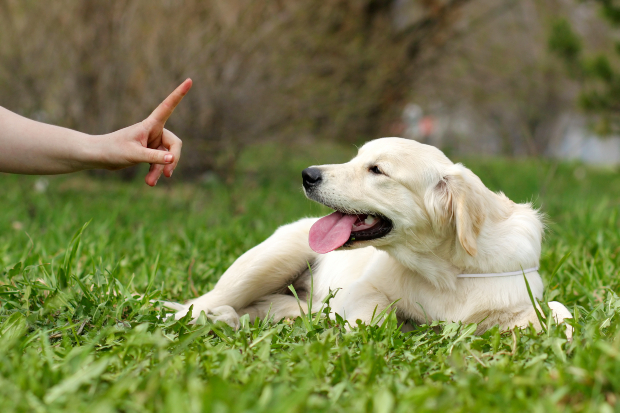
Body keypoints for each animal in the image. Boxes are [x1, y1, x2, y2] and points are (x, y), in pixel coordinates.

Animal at [168, 138, 572, 334]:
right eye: (356, 159)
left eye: (377, 170)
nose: (307, 175)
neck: (449, 272)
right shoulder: (362, 291)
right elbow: (377, 315)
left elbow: (561, 312)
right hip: (269, 260)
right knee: (198, 305)